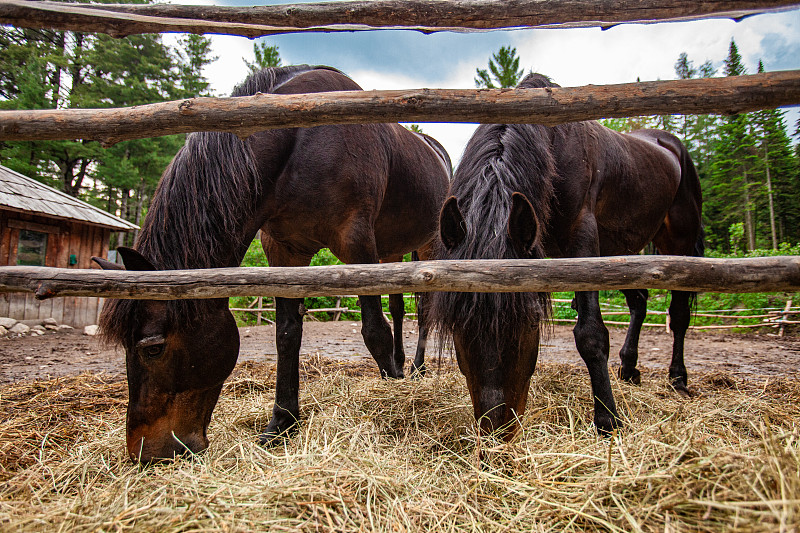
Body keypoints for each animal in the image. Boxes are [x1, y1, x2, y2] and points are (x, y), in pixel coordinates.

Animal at [94, 65, 450, 462]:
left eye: (152, 348)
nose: (146, 453)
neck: (298, 143)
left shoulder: (357, 242)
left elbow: (374, 329)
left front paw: (393, 394)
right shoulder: (284, 251)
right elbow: (286, 335)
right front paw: (282, 422)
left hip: (428, 245)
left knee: (425, 306)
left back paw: (416, 368)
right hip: (392, 252)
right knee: (401, 307)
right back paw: (404, 364)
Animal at [428, 72, 704, 438]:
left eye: (533, 320)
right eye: (454, 322)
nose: (498, 432)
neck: (553, 147)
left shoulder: (582, 239)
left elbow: (590, 334)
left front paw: (607, 420)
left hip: (679, 242)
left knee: (679, 313)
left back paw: (678, 377)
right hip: (621, 252)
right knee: (640, 302)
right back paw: (629, 369)